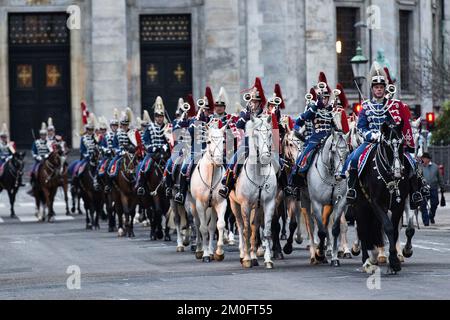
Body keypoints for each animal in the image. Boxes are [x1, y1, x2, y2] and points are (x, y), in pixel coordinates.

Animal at [229, 114, 278, 268]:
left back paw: (254, 256)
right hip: (234, 204)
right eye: (255, 135)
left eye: (269, 134)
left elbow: (265, 230)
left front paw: (268, 259)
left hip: (257, 208)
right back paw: (243, 254)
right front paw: (246, 259)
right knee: (240, 226)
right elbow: (246, 230)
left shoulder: (268, 203)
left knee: (255, 227)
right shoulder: (245, 204)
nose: (265, 156)